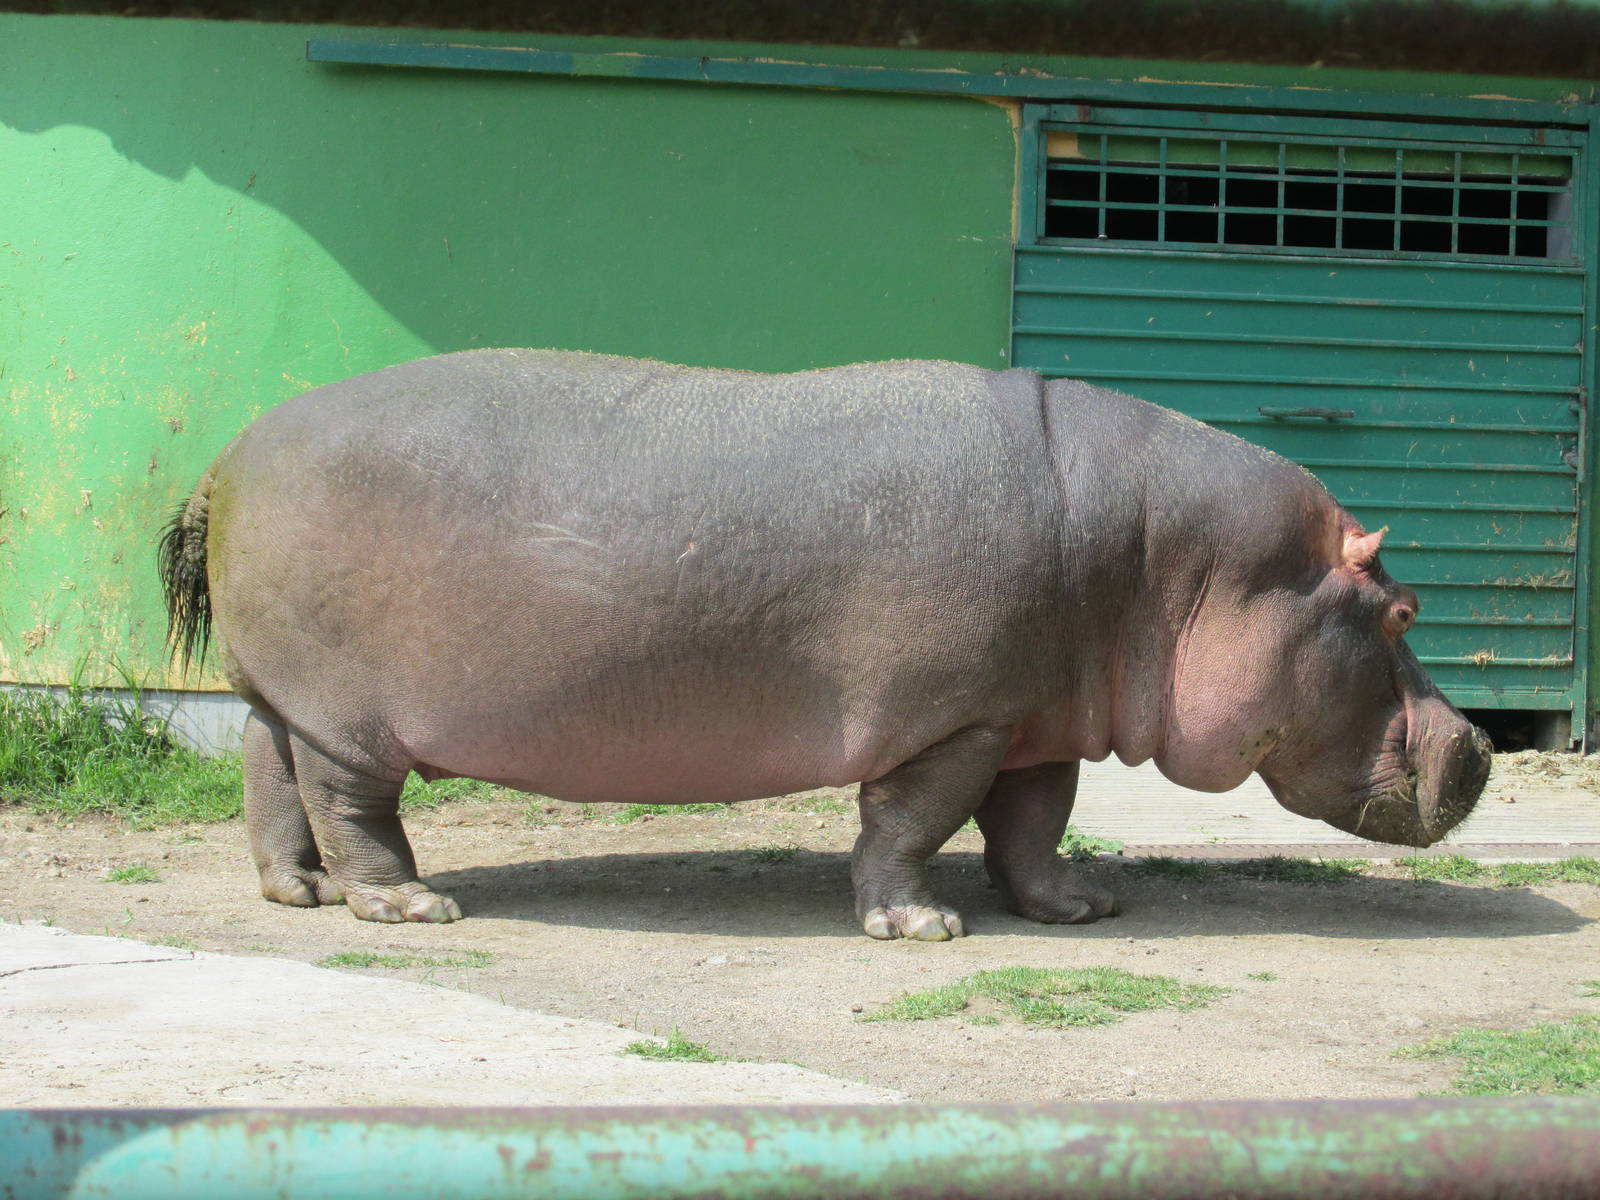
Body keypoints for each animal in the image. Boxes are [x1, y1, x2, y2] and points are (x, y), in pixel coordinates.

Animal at [159, 350, 1491, 940]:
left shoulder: (1032, 712)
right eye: (1402, 611)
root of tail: (227, 453)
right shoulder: (954, 718)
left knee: (266, 772)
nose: (1480, 748)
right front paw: (921, 929)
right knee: (348, 799)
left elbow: (1033, 823)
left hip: (281, 688)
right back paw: (404, 905)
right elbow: (912, 823)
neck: (1173, 560)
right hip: (350, 712)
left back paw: (298, 892)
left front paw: (1078, 907)